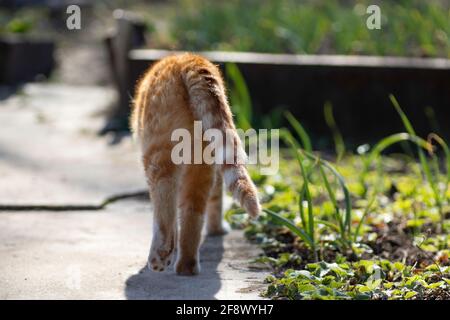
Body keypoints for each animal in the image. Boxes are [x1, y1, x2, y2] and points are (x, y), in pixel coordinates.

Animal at [130, 52, 260, 276]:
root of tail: (189, 59)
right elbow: (215, 201)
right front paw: (216, 230)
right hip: (201, 165)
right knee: (193, 213)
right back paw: (186, 267)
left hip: (158, 160)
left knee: (164, 208)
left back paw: (160, 258)